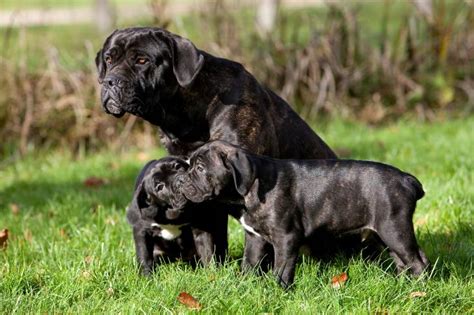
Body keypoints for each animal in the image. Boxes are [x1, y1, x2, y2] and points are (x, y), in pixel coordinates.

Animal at [95, 26, 336, 264]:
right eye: (109, 59)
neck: (187, 118)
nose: (110, 81)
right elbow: (211, 241)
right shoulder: (200, 191)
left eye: (142, 60)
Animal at [178, 142, 430, 290]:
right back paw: (404, 288)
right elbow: (249, 263)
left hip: (393, 228)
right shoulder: (255, 238)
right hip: (385, 234)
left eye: (200, 169)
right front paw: (243, 286)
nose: (181, 180)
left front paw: (278, 291)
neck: (251, 187)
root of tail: (406, 179)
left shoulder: (286, 238)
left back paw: (418, 292)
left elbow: (281, 268)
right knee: (404, 261)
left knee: (416, 261)